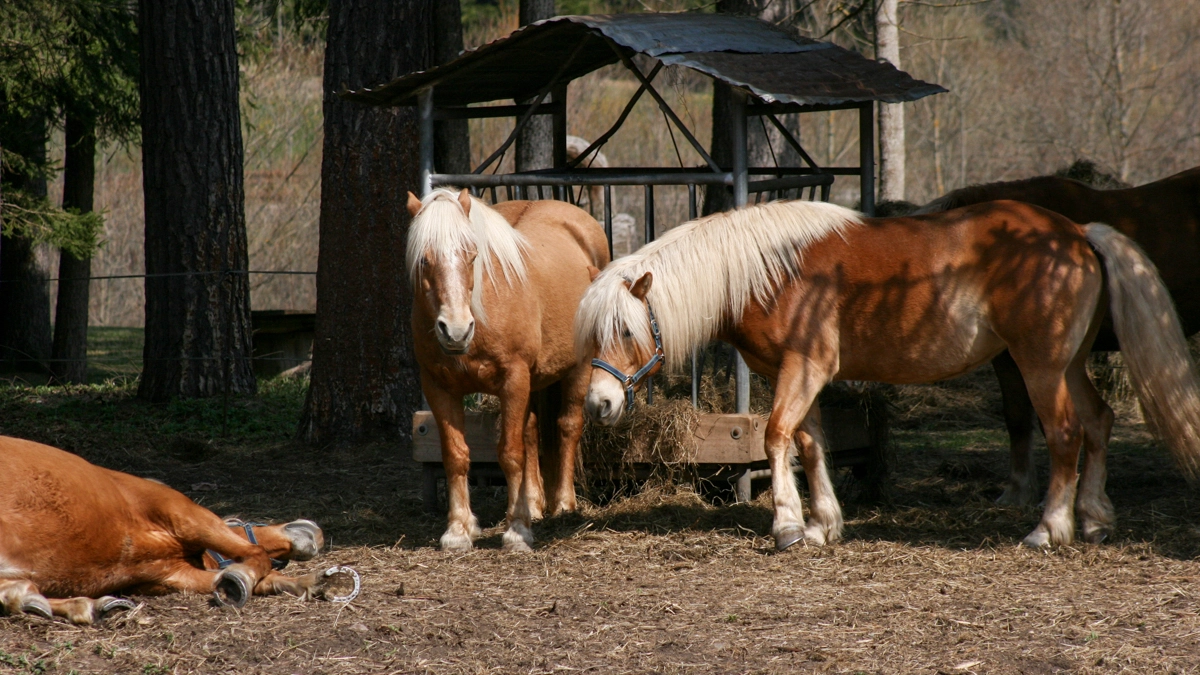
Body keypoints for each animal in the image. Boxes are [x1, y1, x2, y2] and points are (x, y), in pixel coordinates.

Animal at [0, 432, 348, 624]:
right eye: (240, 521)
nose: (312, 532)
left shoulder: (171, 576)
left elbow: (235, 578)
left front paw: (309, 582)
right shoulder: (184, 514)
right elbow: (256, 555)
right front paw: (249, 577)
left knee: (15, 592)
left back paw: (79, 605)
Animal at [408, 186, 609, 550]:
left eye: (472, 255)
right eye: (424, 260)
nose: (456, 330)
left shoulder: (513, 381)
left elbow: (511, 453)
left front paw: (517, 531)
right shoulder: (439, 387)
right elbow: (457, 456)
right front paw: (458, 531)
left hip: (580, 366)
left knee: (568, 426)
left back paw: (564, 504)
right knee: (531, 434)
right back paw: (534, 505)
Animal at [576, 196, 1195, 550]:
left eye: (626, 331)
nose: (599, 404)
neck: (769, 271)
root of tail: (1077, 233)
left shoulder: (804, 368)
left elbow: (776, 437)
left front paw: (787, 526)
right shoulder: (798, 375)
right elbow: (812, 444)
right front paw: (824, 524)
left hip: (1039, 366)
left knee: (1066, 434)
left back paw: (1049, 528)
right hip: (1069, 364)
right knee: (1099, 422)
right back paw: (1094, 520)